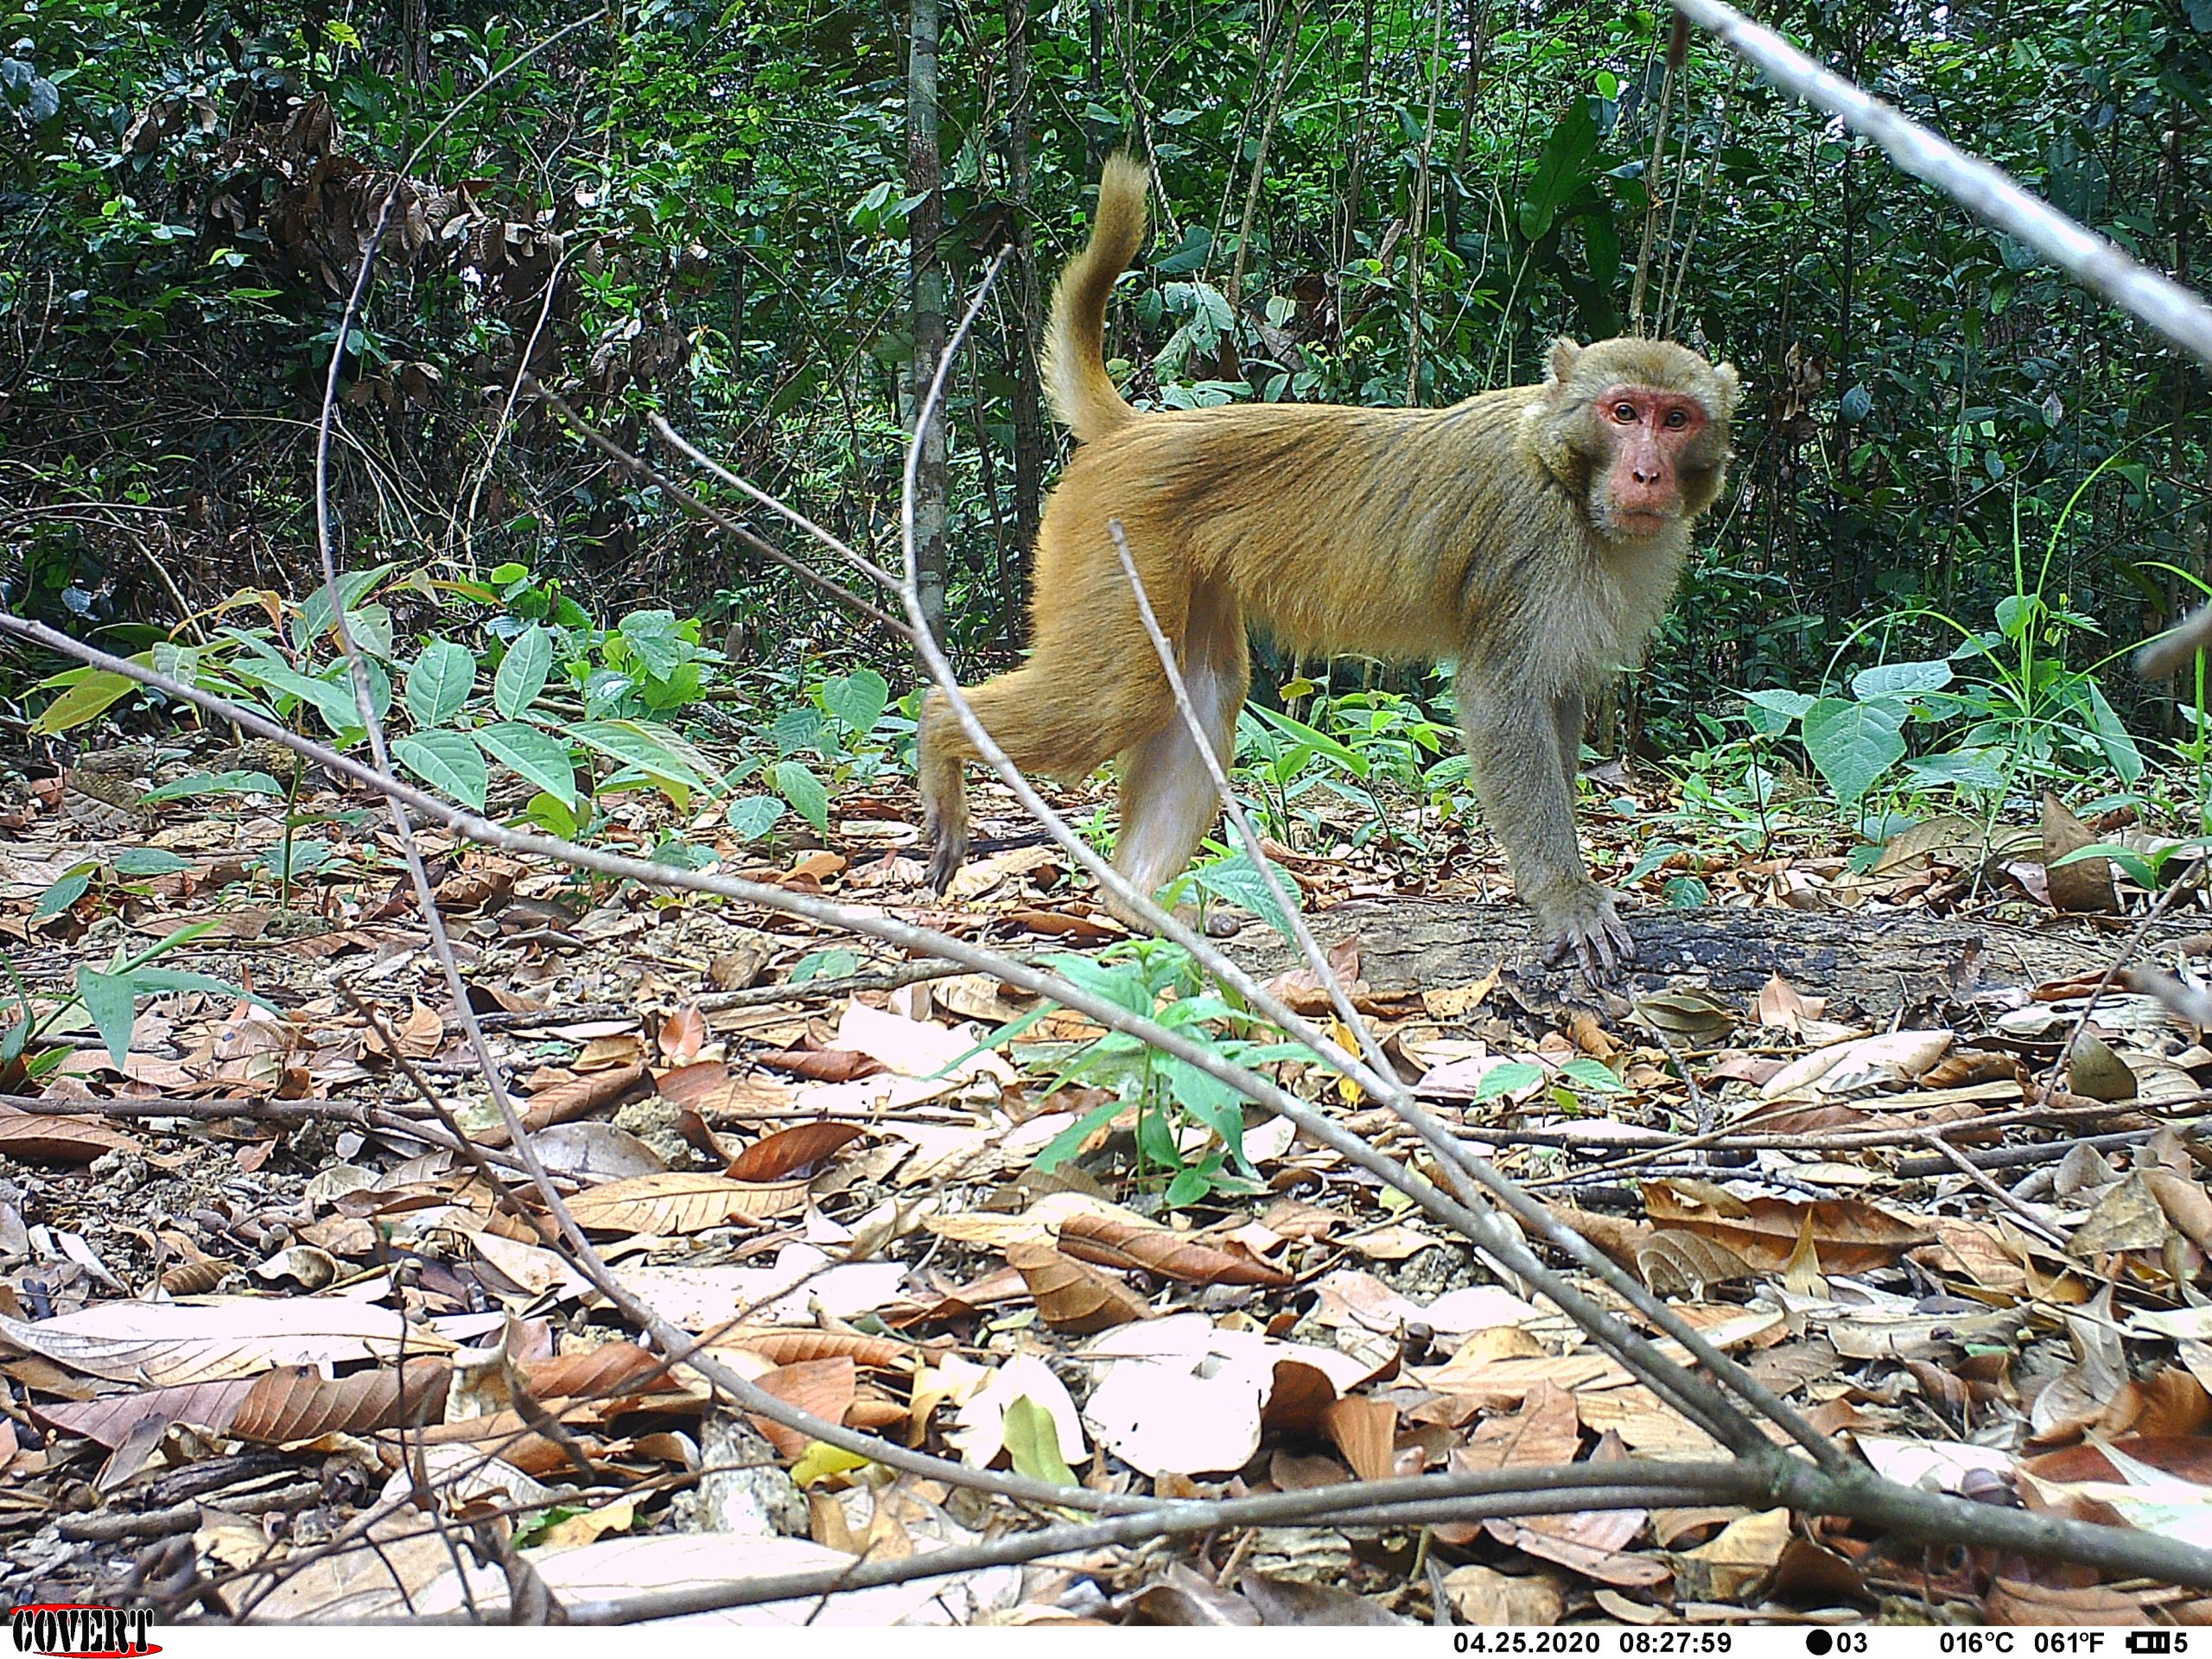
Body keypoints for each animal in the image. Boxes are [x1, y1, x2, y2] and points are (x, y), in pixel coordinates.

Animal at [918, 154, 1740, 979]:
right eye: (1624, 413)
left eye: (1676, 419)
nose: (1646, 475)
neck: (1563, 475)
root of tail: (1137, 432)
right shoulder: (1528, 542)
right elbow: (1502, 698)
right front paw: (1566, 898)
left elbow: (1556, 697)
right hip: (1110, 538)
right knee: (1115, 695)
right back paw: (940, 730)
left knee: (1200, 690)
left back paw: (1136, 904)